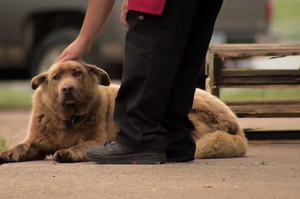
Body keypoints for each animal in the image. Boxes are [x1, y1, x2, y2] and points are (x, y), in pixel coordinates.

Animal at [0, 59, 248, 164]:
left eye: (77, 73)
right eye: (56, 77)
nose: (67, 88)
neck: (68, 119)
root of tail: (237, 127)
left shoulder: (97, 140)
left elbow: (79, 146)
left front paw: (67, 152)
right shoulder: (36, 142)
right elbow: (21, 147)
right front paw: (6, 154)